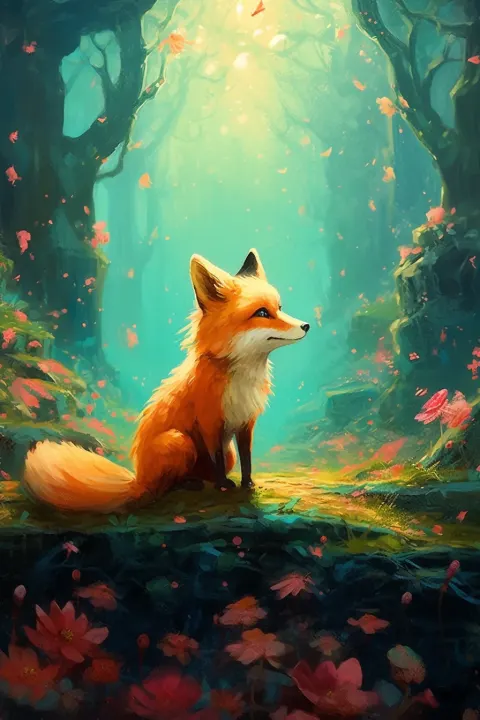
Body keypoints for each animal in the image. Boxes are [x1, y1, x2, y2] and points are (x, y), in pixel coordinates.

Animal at [22, 249, 310, 513]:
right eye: (261, 313)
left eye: (280, 308)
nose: (306, 325)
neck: (239, 376)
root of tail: (137, 479)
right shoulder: (210, 422)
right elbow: (216, 457)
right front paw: (223, 486)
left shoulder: (246, 422)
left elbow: (247, 459)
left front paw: (247, 484)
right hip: (179, 441)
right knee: (161, 488)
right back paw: (188, 484)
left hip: (219, 451)